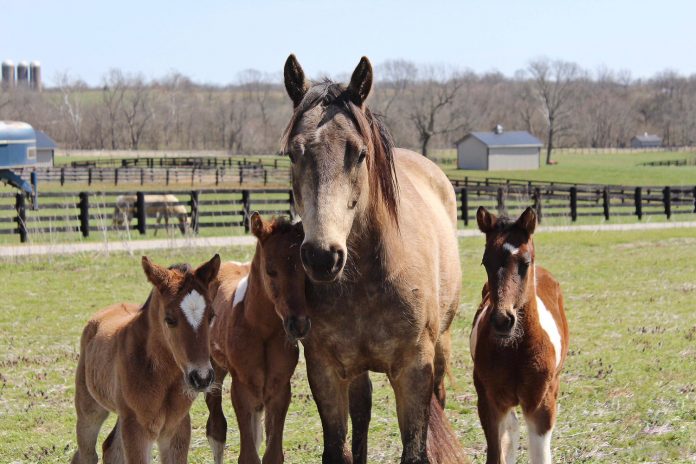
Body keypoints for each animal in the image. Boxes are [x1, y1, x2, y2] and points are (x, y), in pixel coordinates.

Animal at [71, 254, 221, 464]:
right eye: (169, 319)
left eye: (211, 316)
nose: (202, 378)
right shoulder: (137, 428)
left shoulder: (177, 428)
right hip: (90, 408)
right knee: (86, 453)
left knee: (111, 449)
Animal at [205, 212, 307, 464]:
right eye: (270, 270)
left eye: (304, 270)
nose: (299, 325)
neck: (262, 330)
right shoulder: (241, 388)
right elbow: (248, 455)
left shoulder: (280, 390)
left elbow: (272, 453)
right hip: (215, 369)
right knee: (216, 426)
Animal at [282, 55, 466, 463]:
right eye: (293, 153)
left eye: (360, 153)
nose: (322, 257)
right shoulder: (326, 370)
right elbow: (339, 446)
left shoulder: (414, 370)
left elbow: (415, 449)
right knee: (362, 412)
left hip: (442, 346)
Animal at [471, 207, 569, 464]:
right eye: (485, 262)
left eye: (525, 262)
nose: (502, 320)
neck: (516, 350)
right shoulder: (489, 401)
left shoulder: (541, 405)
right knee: (512, 429)